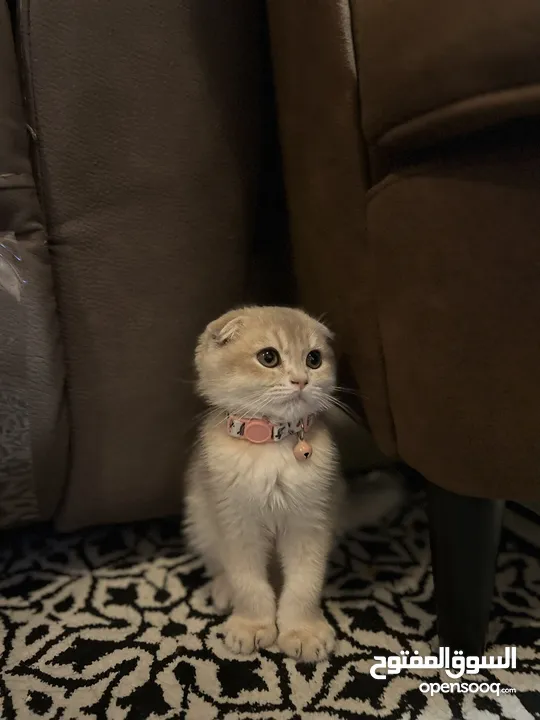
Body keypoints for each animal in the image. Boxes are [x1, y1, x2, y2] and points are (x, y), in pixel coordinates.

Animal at [186, 306, 400, 660]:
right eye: (268, 357)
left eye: (314, 358)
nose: (301, 380)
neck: (274, 446)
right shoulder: (236, 525)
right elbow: (248, 583)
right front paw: (253, 625)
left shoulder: (310, 523)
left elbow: (303, 585)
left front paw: (302, 631)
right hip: (199, 519)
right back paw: (224, 588)